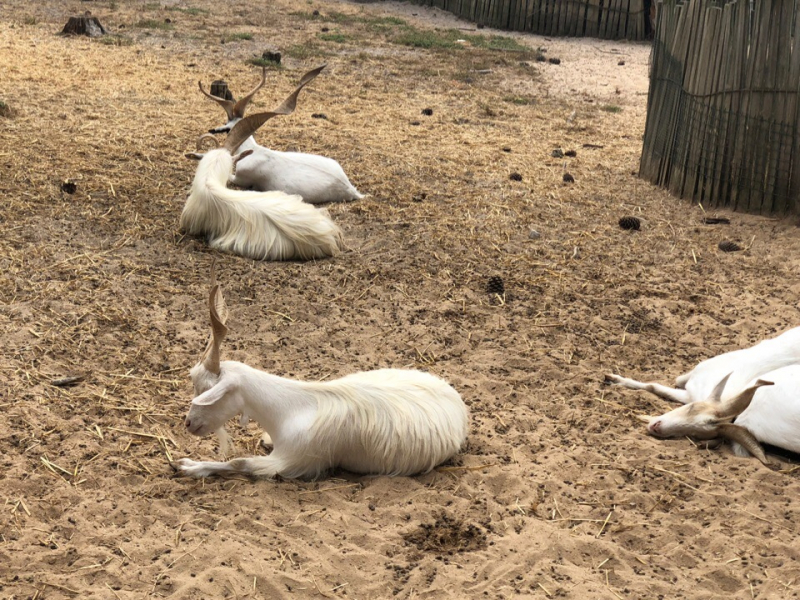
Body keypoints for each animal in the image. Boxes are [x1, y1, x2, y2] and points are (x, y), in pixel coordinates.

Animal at [169, 274, 468, 480]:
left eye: (208, 392)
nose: (189, 423)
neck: (288, 410)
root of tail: (457, 403)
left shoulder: (293, 461)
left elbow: (239, 462)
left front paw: (189, 466)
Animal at [604, 326, 800, 466]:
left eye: (696, 434)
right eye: (692, 408)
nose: (656, 427)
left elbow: (658, 387)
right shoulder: (694, 383)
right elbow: (662, 384)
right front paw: (614, 379)